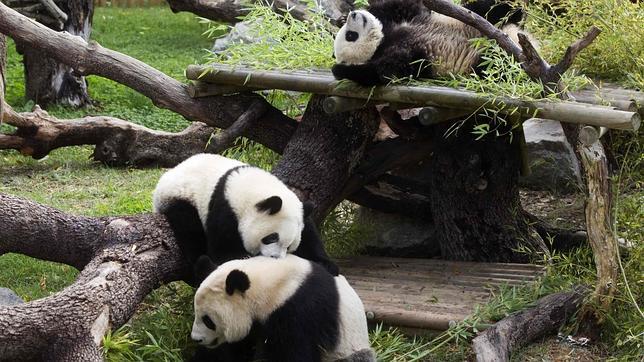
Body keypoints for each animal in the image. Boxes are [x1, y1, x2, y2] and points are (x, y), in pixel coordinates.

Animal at [153, 153, 340, 282]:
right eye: (271, 237)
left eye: (290, 246)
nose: (275, 258)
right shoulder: (226, 209)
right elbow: (222, 249)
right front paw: (244, 259)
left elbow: (309, 233)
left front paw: (327, 264)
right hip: (178, 196)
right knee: (189, 227)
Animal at [189, 255, 374, 362]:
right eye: (196, 313)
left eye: (208, 320)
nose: (196, 339)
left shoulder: (298, 310)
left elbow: (292, 353)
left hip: (346, 348)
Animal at [332, 0, 532, 86]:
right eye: (351, 36)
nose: (354, 14)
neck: (384, 40)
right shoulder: (405, 54)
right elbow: (385, 73)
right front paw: (340, 70)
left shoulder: (410, 17)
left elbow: (398, 6)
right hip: (480, 64)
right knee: (494, 66)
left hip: (482, 22)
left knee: (490, 10)